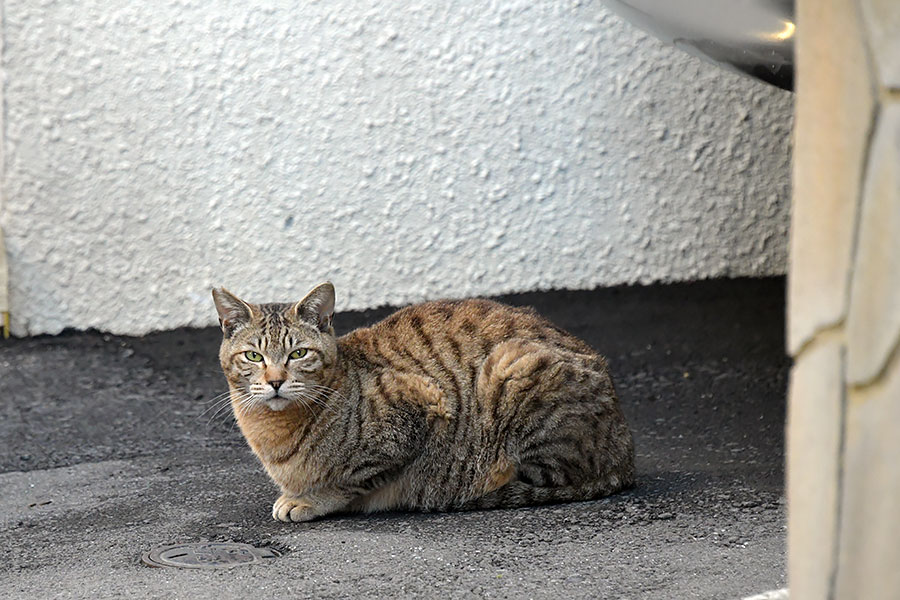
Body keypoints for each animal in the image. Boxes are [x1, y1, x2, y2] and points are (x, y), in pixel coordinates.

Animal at [213, 282, 632, 520]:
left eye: (298, 354)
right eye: (253, 356)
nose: (275, 381)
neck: (274, 433)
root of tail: (625, 457)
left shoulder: (421, 410)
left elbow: (352, 479)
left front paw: (310, 500)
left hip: (510, 365)